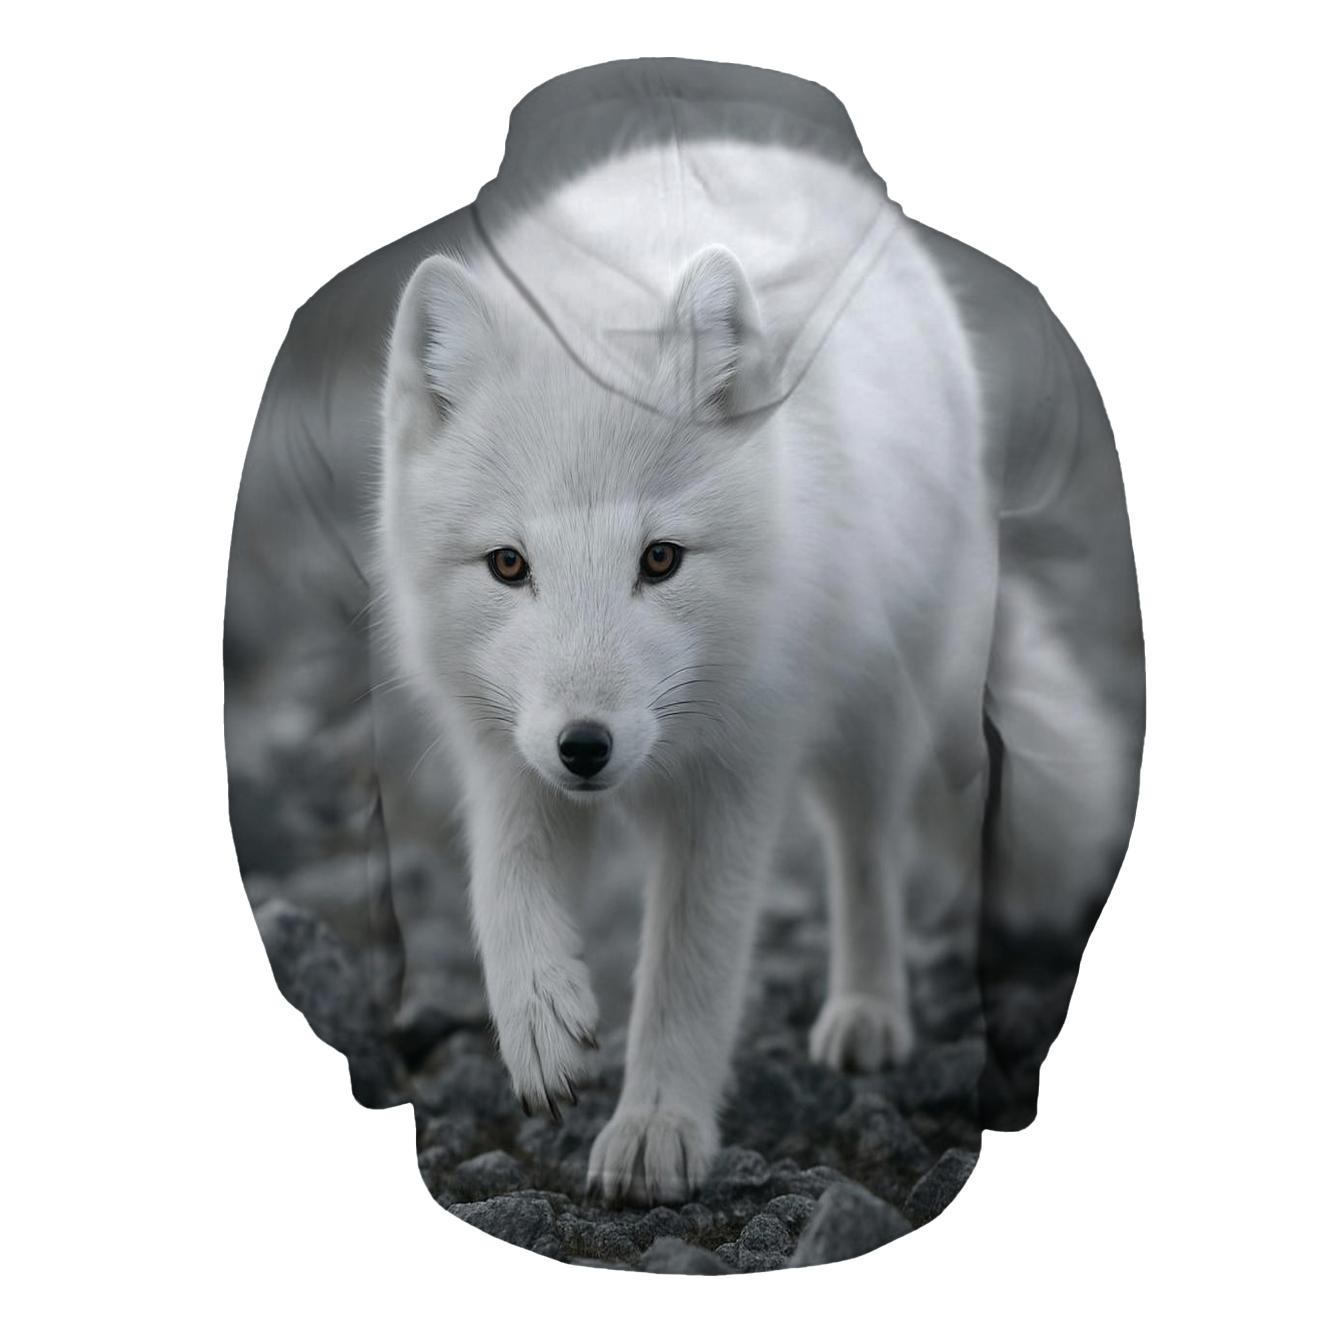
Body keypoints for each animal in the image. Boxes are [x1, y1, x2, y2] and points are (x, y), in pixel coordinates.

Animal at [377, 231, 990, 1205]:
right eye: (508, 564)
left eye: (660, 559)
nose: (585, 747)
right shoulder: (507, 754)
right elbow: (501, 889)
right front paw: (541, 1021)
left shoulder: (736, 778)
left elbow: (687, 971)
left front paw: (657, 1127)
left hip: (876, 713)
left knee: (864, 852)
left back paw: (866, 1008)